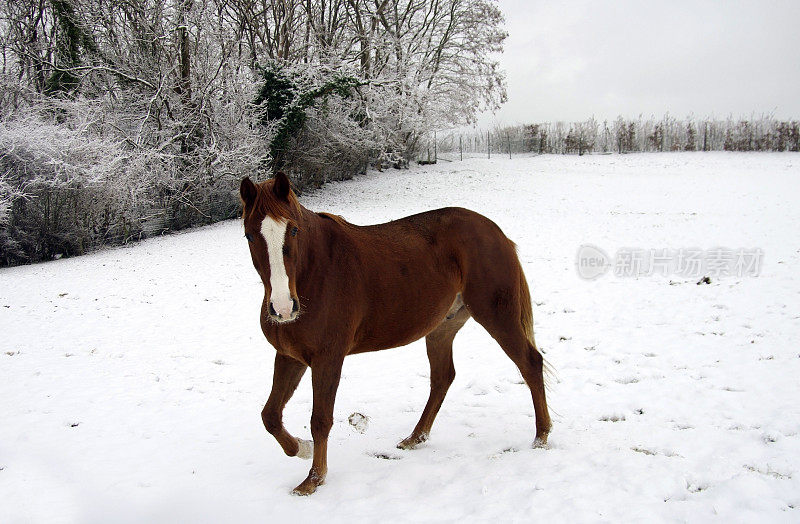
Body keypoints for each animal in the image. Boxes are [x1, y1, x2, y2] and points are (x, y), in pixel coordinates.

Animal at [239, 173, 552, 496]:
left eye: (294, 230)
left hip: (497, 316)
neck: (316, 273)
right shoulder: (291, 356)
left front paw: (313, 480)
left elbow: (320, 420)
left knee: (530, 363)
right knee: (443, 378)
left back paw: (541, 437)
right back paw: (415, 438)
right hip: (442, 329)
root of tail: (496, 232)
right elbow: (270, 416)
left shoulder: (328, 359)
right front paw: (301, 448)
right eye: (249, 236)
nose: (283, 308)